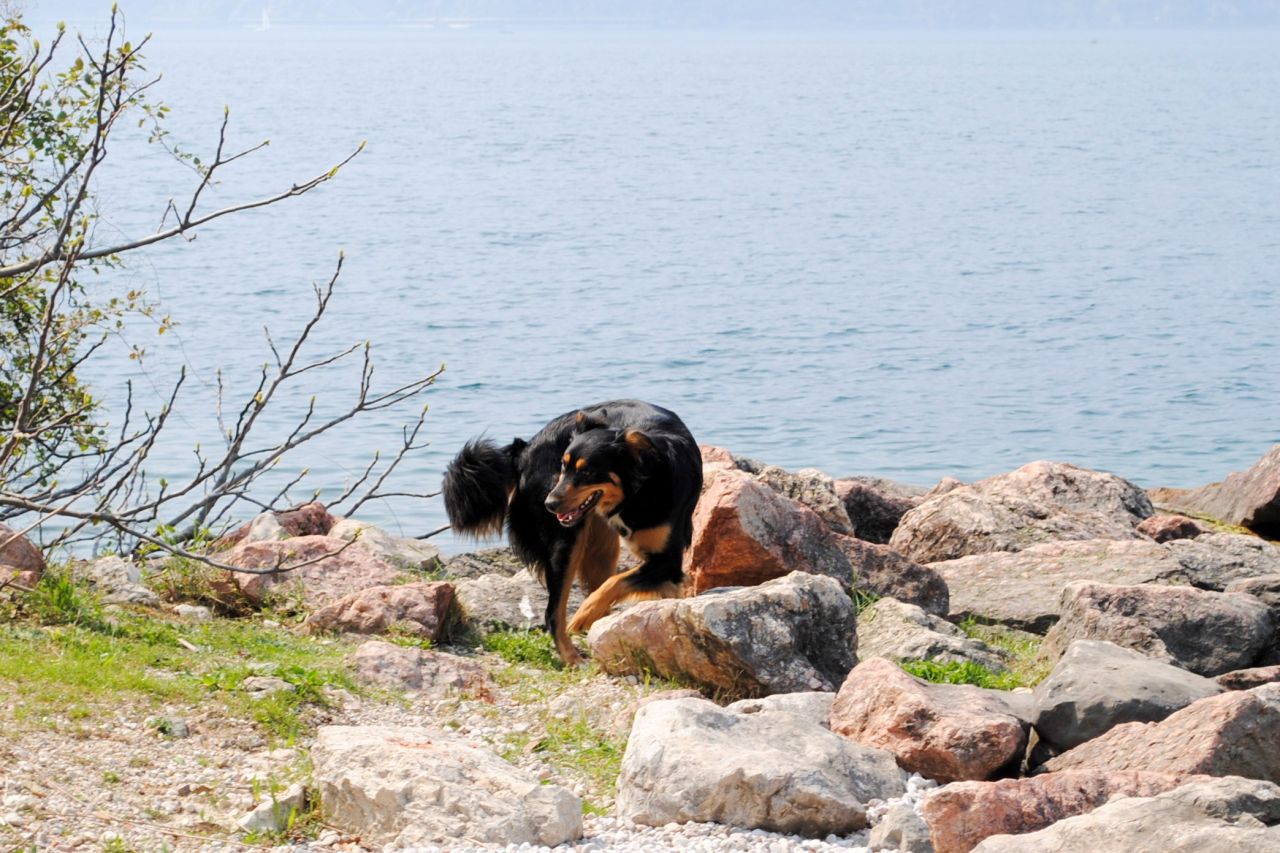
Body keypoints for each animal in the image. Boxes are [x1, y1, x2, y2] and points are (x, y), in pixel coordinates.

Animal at [440, 399, 701, 666]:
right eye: (562, 467)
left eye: (587, 472)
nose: (549, 505)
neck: (641, 486)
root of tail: (524, 450)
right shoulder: (664, 563)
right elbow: (616, 582)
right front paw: (584, 615)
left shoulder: (667, 561)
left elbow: (619, 583)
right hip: (566, 540)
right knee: (553, 612)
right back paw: (572, 656)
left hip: (601, 547)